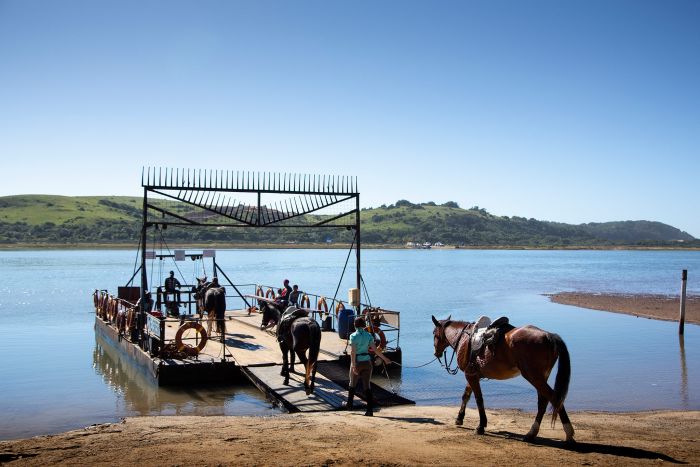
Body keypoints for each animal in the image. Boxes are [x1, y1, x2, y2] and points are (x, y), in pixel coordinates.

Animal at [432, 316, 576, 444]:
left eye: (434, 334)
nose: (436, 353)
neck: (464, 338)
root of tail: (549, 336)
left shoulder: (470, 375)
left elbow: (479, 399)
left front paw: (481, 426)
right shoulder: (472, 374)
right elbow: (466, 396)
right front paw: (459, 418)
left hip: (533, 376)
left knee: (553, 398)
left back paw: (568, 433)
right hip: (541, 377)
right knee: (543, 402)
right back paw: (531, 434)